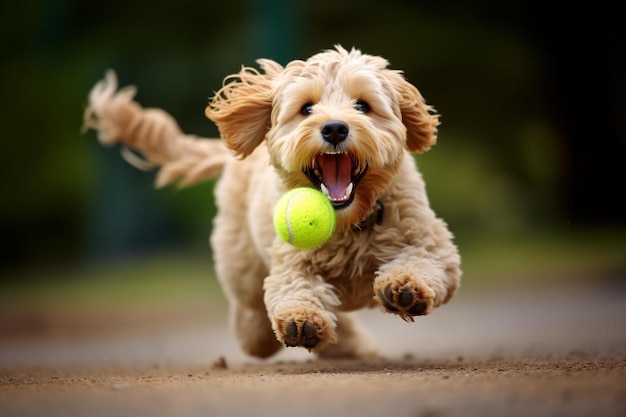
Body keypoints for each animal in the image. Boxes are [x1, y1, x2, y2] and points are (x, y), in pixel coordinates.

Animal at [84, 44, 458, 358]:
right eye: (307, 108)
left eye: (363, 106)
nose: (334, 128)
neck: (351, 221)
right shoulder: (291, 261)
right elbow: (293, 287)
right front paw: (300, 320)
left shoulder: (431, 242)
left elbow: (424, 260)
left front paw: (404, 286)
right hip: (242, 264)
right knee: (248, 307)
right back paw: (260, 337)